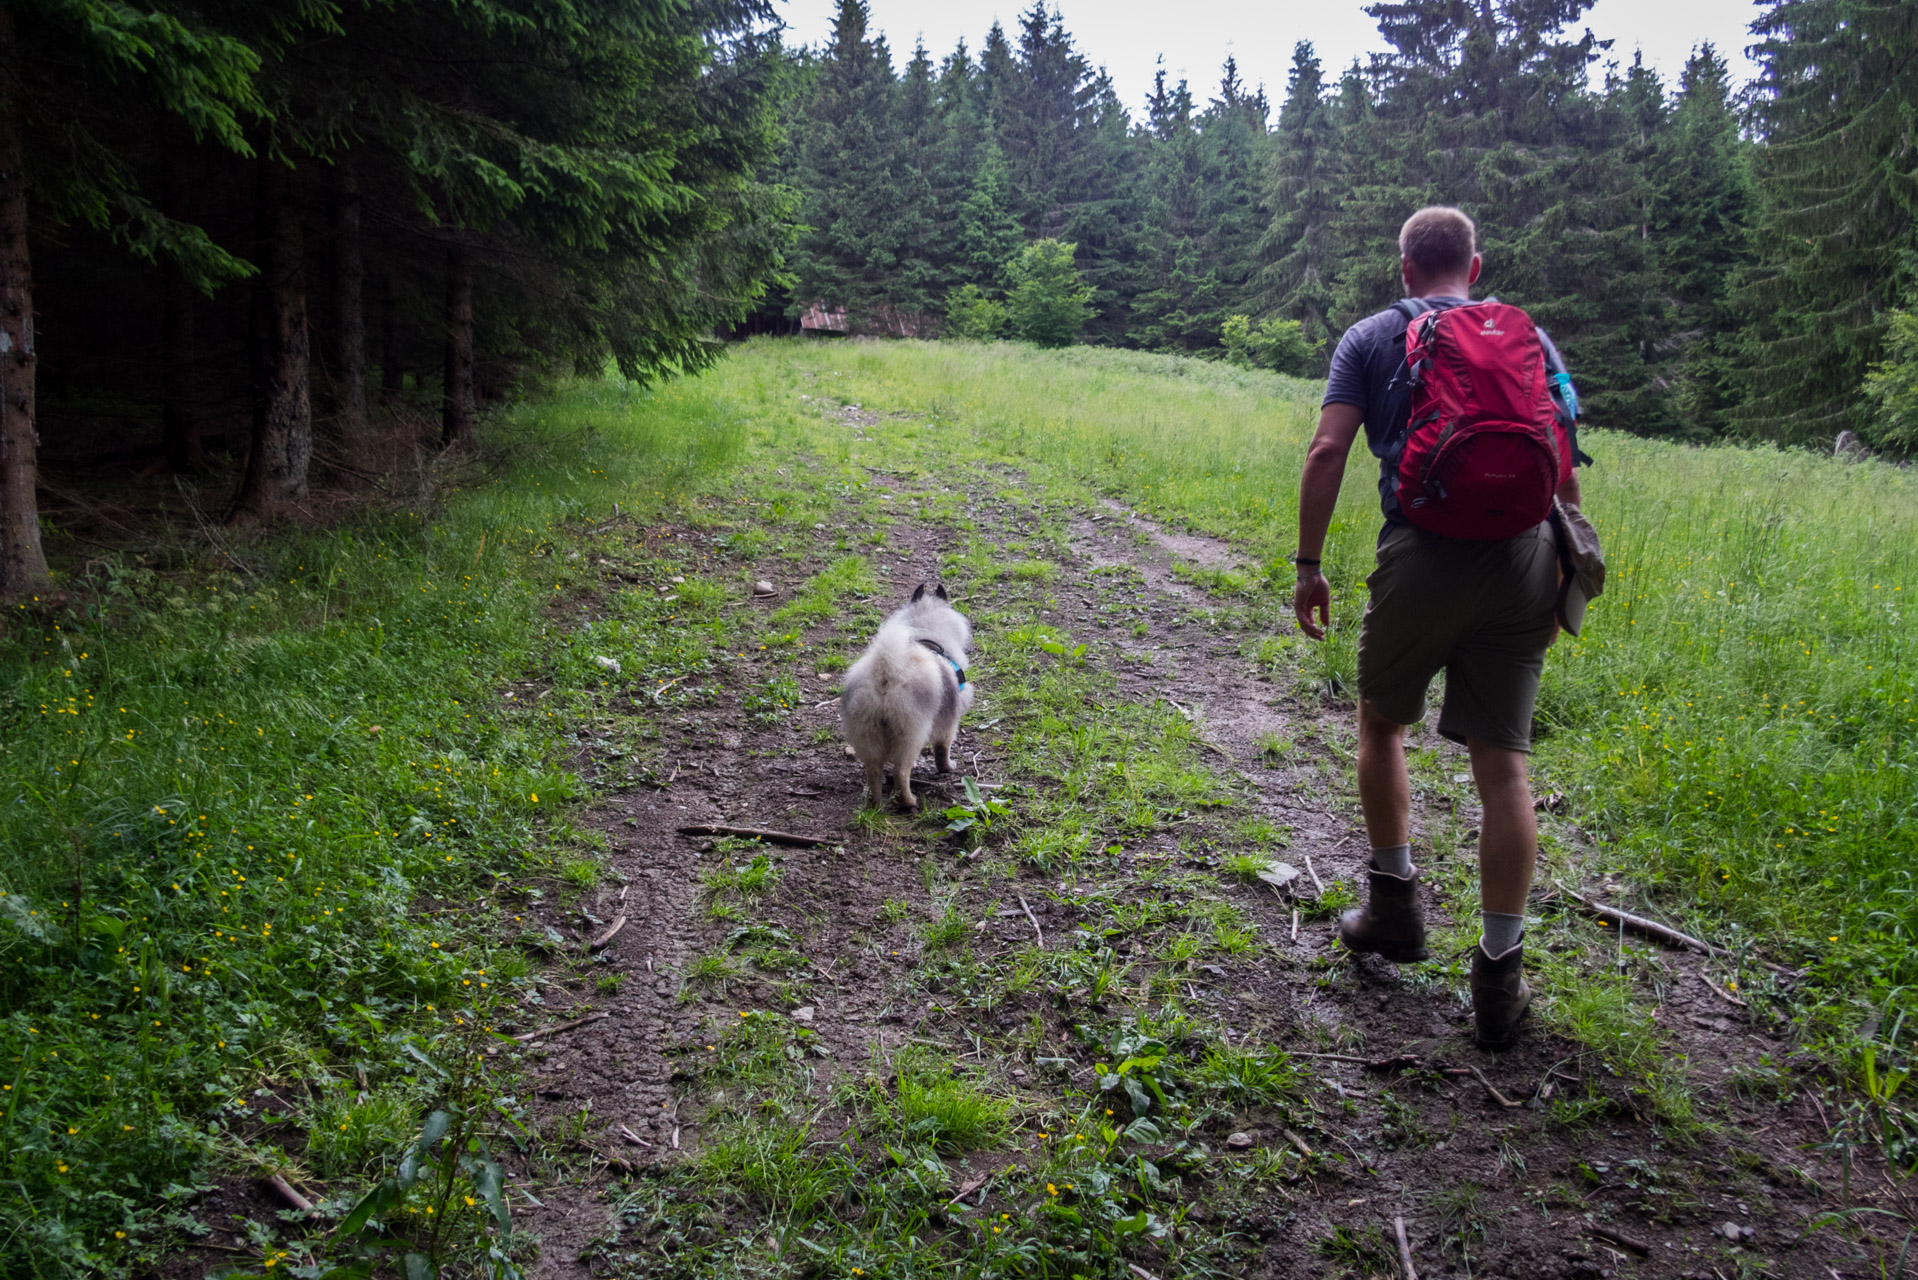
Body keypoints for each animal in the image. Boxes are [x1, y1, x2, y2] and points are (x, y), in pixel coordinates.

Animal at [840, 583, 974, 809]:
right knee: (901, 772)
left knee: (874, 773)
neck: (929, 638)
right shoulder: (948, 723)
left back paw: (875, 804)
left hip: (868, 736)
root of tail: (886, 674)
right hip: (910, 735)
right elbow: (942, 750)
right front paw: (947, 767)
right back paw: (908, 802)